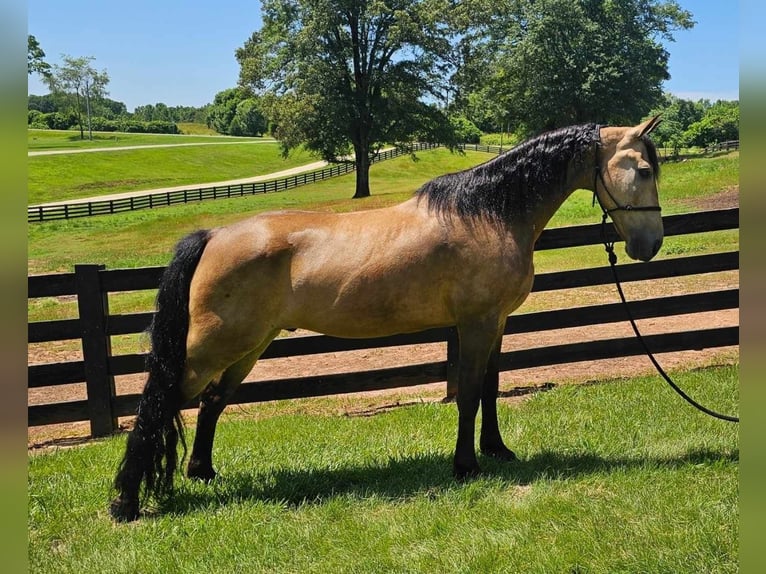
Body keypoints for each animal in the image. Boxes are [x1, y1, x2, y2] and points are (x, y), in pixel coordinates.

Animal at [109, 116, 664, 520]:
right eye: (643, 170)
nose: (650, 246)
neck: (489, 213)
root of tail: (213, 235)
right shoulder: (476, 324)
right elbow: (468, 394)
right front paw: (466, 465)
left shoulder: (497, 324)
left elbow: (489, 389)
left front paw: (497, 450)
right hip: (212, 347)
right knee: (156, 406)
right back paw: (125, 503)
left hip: (249, 346)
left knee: (211, 404)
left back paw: (201, 472)